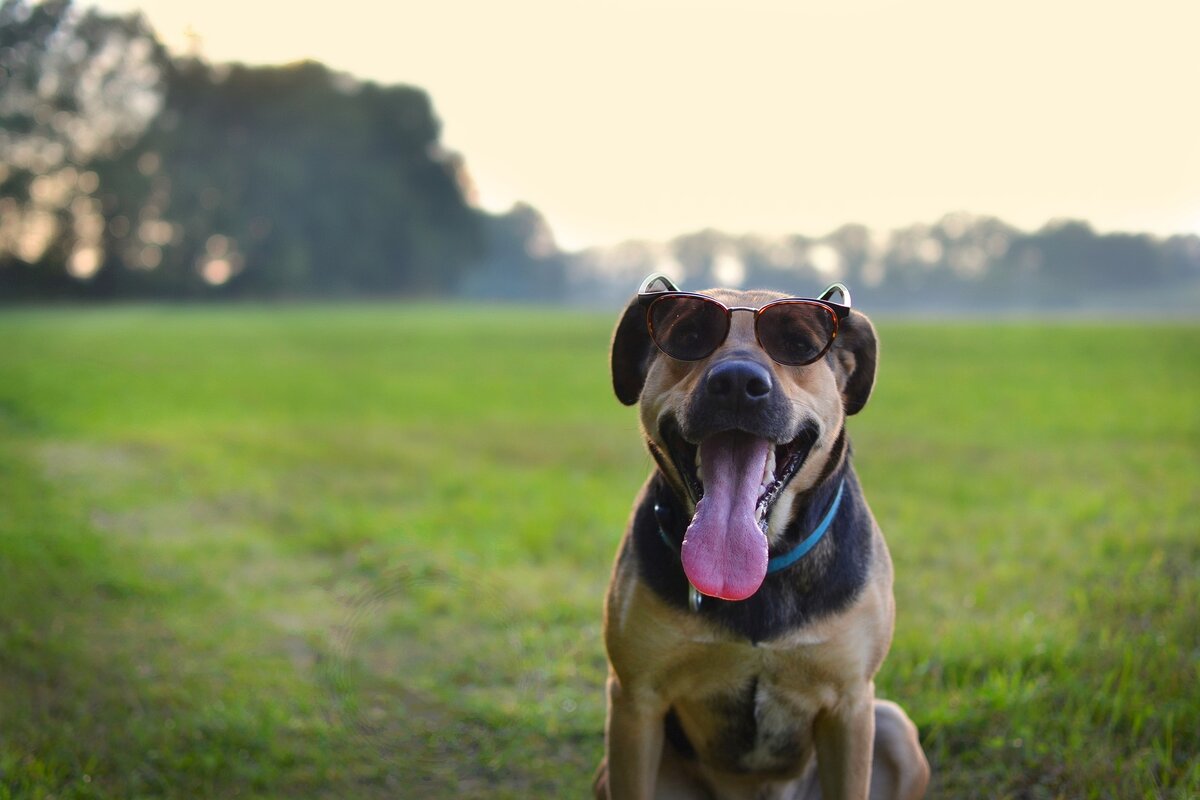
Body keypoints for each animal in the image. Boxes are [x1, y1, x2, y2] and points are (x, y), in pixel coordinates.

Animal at [595, 277, 931, 800]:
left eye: (798, 344)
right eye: (688, 335)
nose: (736, 382)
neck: (764, 568)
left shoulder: (851, 705)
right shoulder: (635, 702)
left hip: (892, 726)